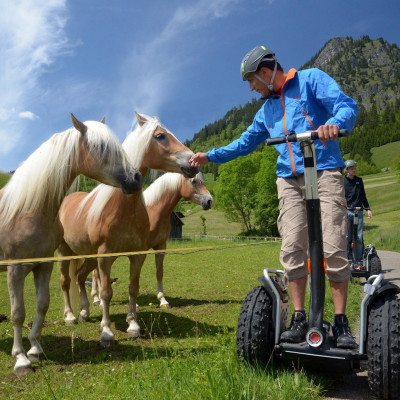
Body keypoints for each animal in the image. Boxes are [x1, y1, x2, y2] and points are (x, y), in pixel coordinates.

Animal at [0, 115, 141, 376]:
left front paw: (35, 349)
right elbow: (17, 313)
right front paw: (21, 360)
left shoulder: (43, 266)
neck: (27, 209)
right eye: (101, 147)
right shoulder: (15, 270)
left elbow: (42, 305)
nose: (135, 178)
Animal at [57, 112, 198, 346]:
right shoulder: (105, 256)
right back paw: (70, 316)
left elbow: (133, 288)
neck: (122, 207)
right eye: (160, 136)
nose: (193, 162)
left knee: (79, 277)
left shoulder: (137, 255)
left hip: (89, 256)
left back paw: (84, 312)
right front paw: (106, 332)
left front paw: (133, 325)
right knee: (66, 281)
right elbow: (106, 292)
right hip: (65, 253)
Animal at [91, 172, 214, 328]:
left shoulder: (161, 246)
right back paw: (99, 301)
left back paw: (96, 299)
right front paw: (135, 306)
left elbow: (159, 273)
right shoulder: (138, 251)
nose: (209, 201)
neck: (154, 212)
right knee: (97, 275)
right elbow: (133, 280)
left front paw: (163, 301)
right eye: (193, 181)